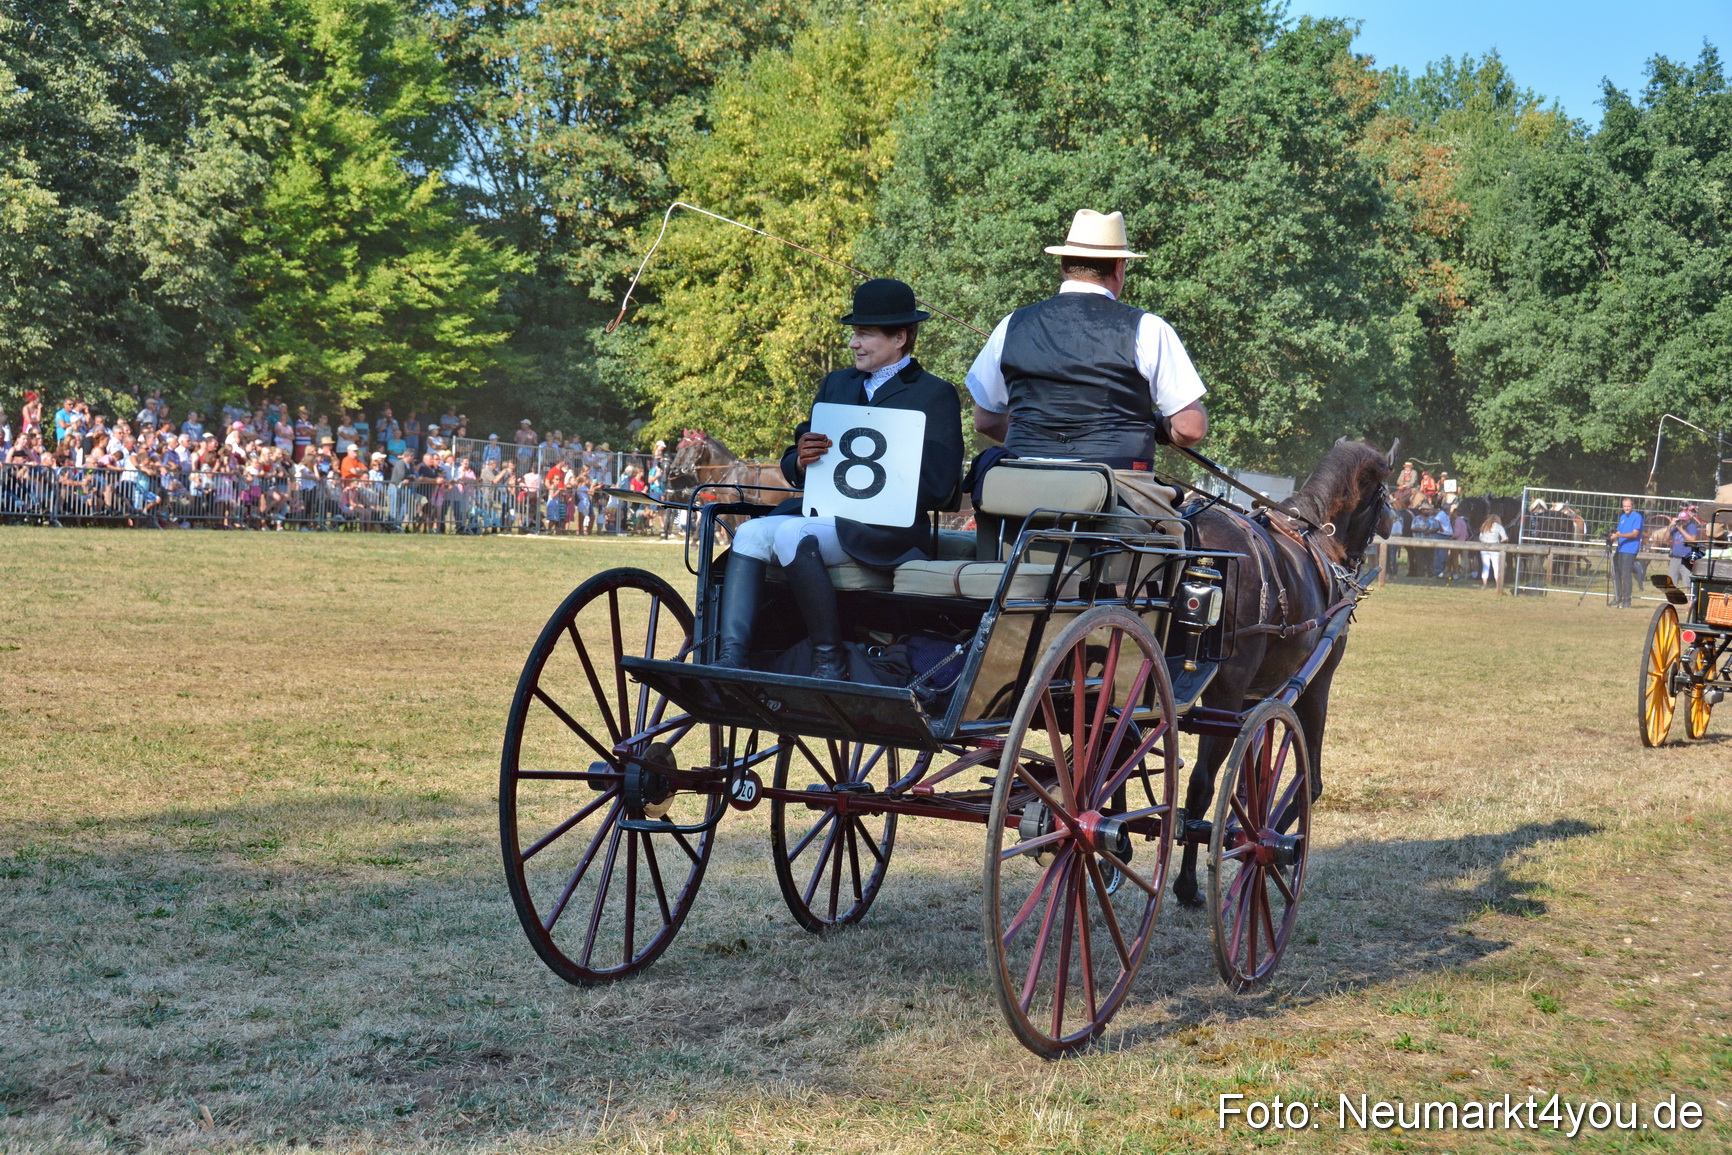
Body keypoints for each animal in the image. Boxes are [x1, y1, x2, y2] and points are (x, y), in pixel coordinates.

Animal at [1173, 438, 1398, 907]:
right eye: (1385, 495)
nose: (1393, 520)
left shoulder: (1258, 696)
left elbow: (1252, 775)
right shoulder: (1313, 685)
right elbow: (1307, 779)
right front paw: (1279, 841)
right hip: (1225, 690)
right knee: (1201, 784)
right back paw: (1188, 883)